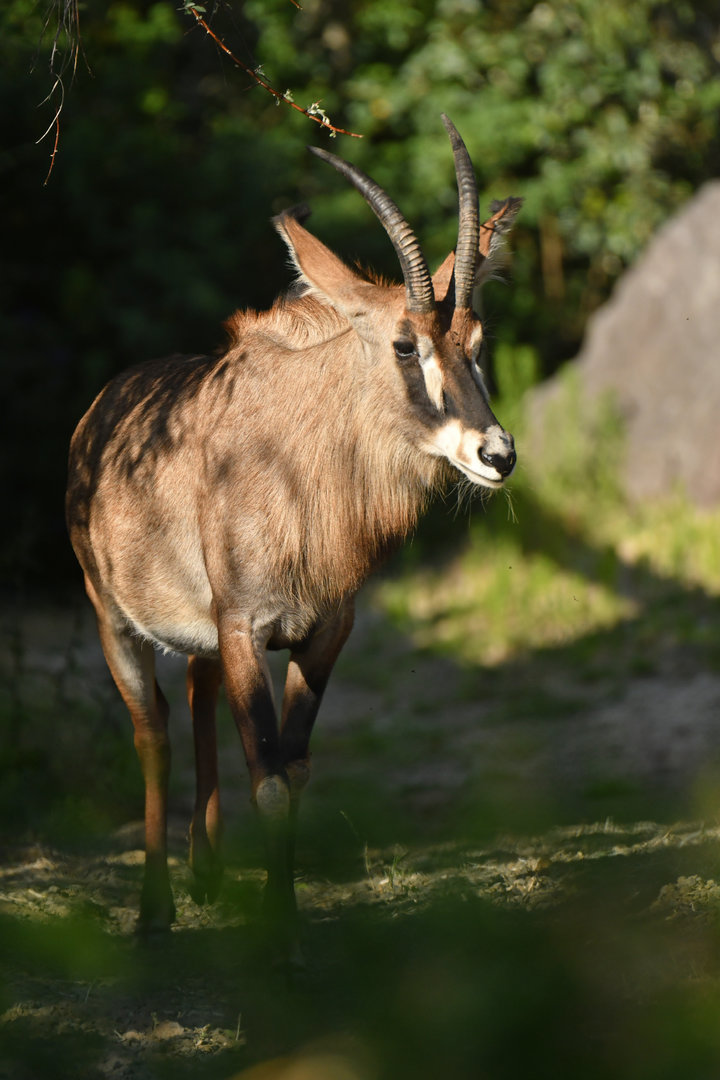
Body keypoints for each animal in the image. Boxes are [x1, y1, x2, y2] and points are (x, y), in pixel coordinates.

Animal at [66, 115, 521, 953]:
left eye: (477, 342)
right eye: (405, 344)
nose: (496, 455)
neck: (297, 462)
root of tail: (100, 409)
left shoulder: (322, 632)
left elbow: (297, 766)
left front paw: (281, 912)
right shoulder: (247, 627)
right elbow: (270, 777)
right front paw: (278, 936)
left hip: (206, 632)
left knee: (196, 689)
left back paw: (206, 870)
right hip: (115, 621)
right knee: (153, 734)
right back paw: (156, 909)